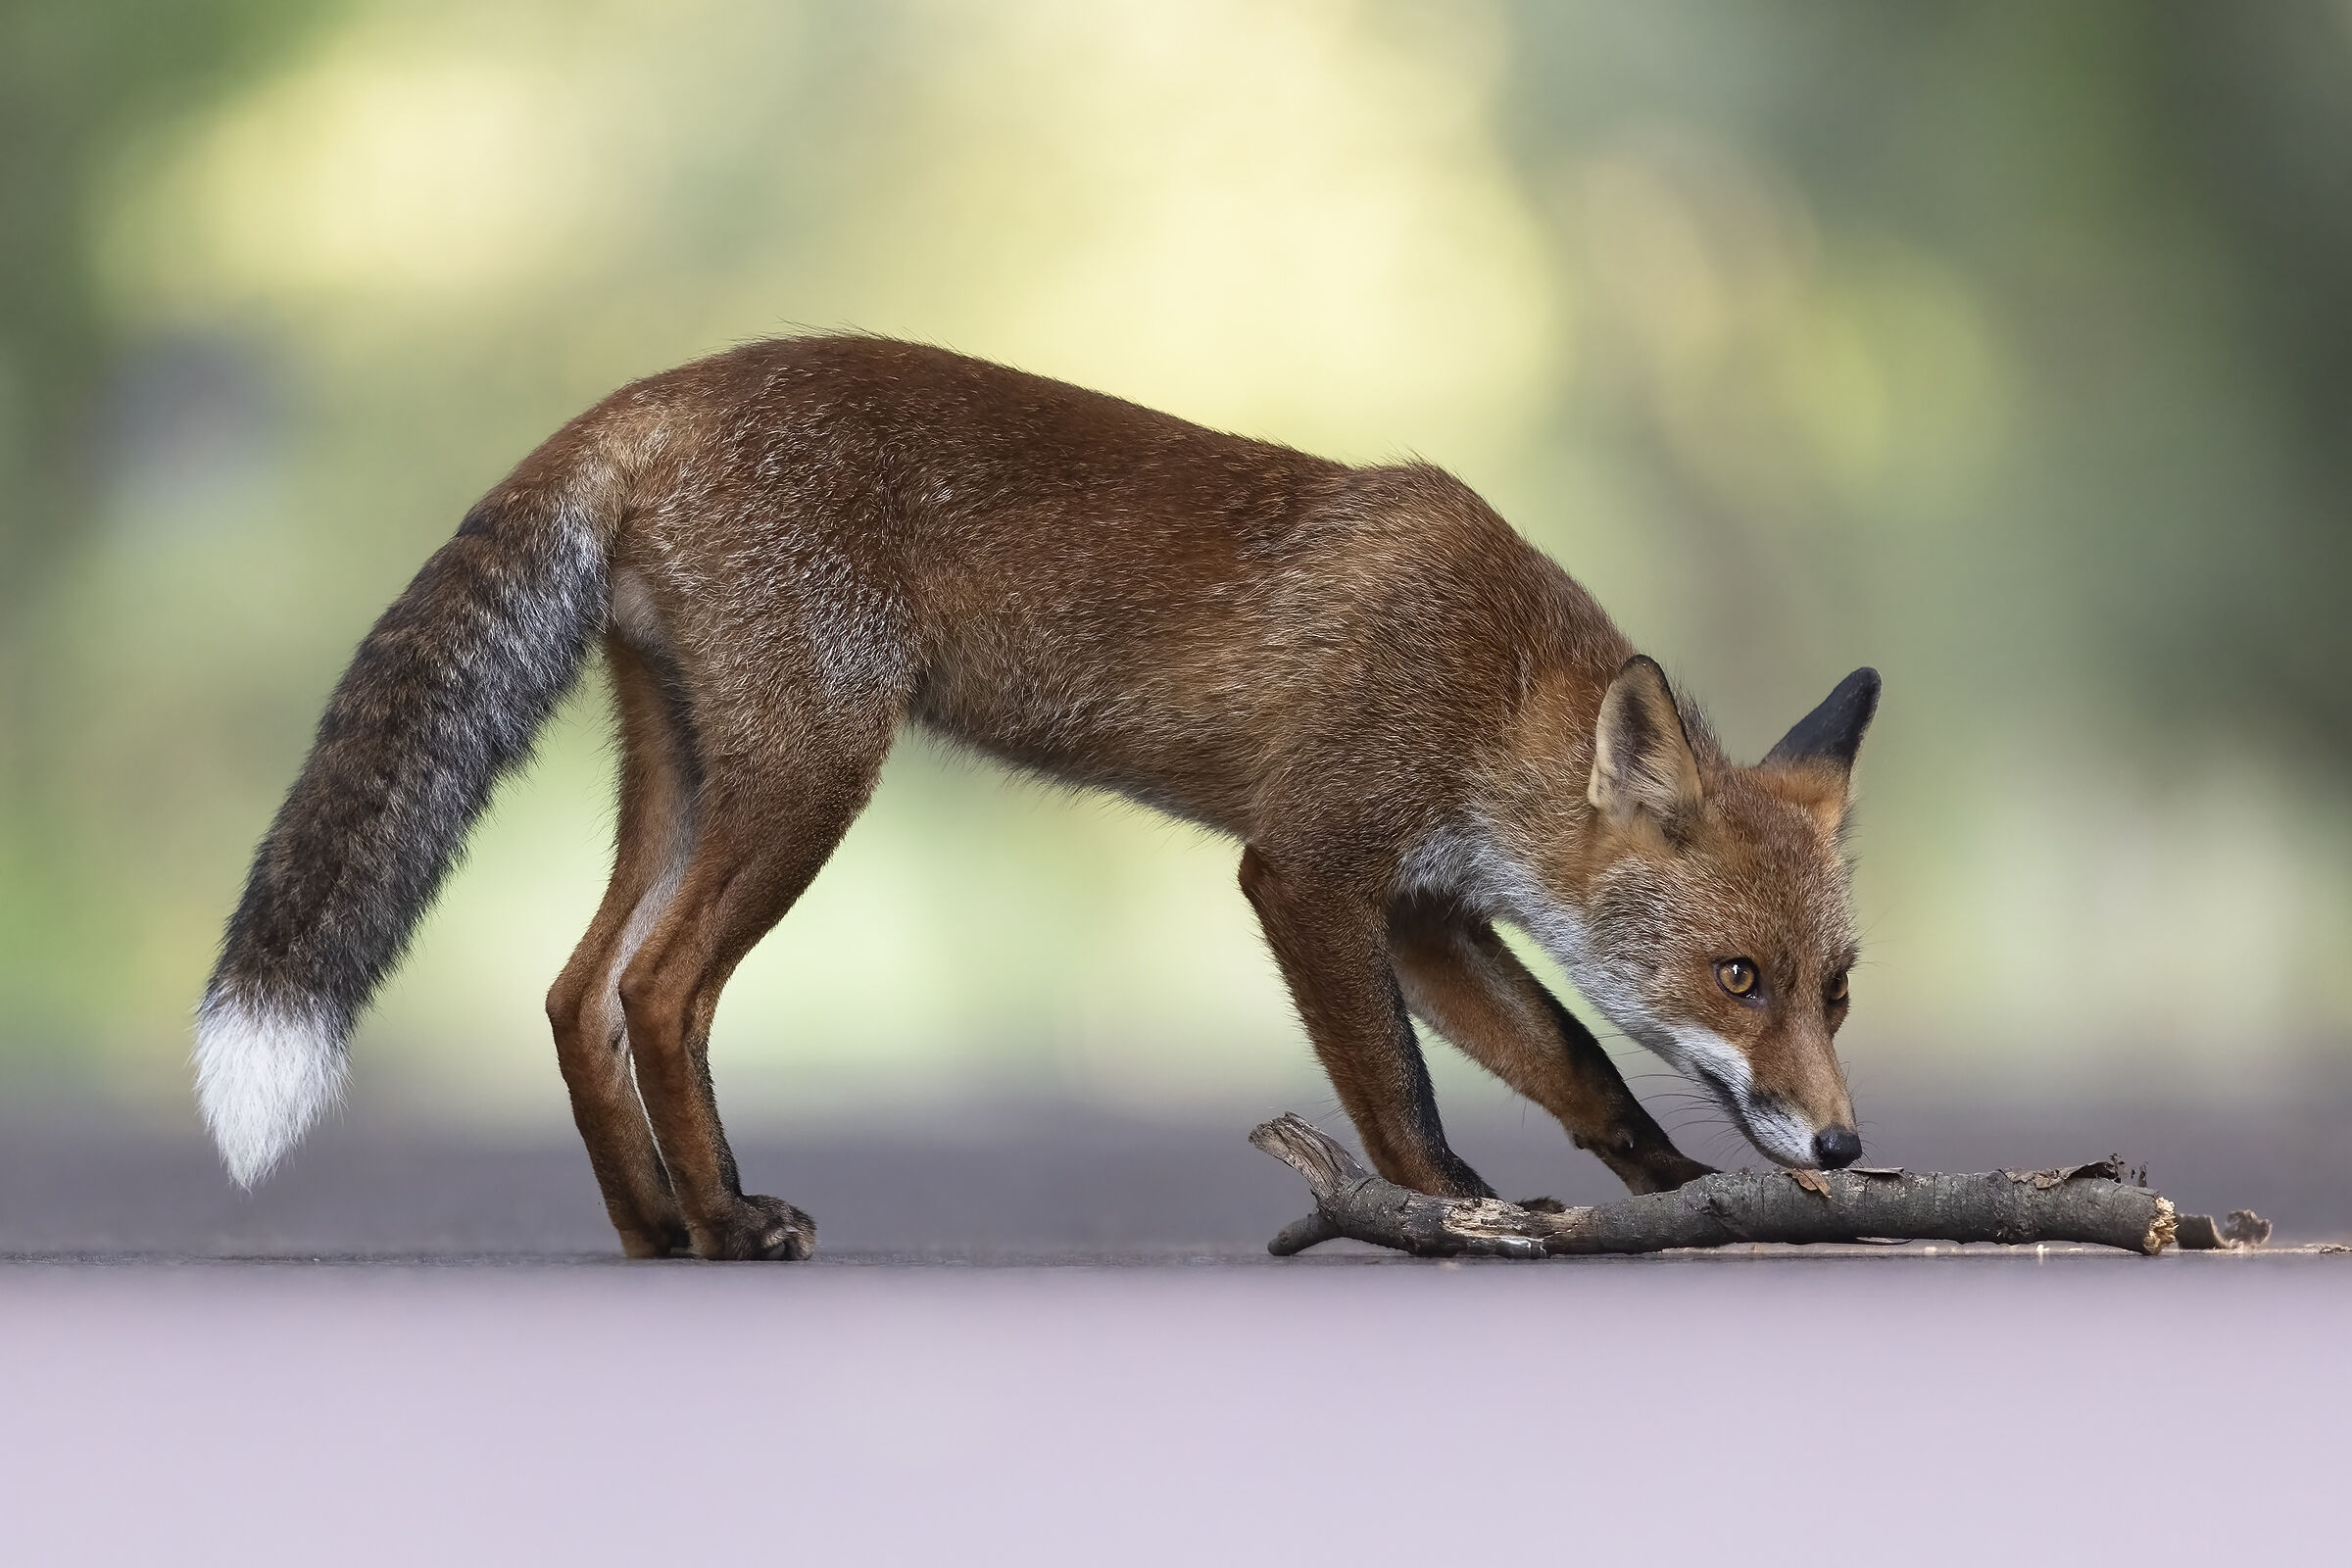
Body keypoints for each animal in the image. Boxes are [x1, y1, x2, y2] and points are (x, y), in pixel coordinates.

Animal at [196, 335, 1880, 1260]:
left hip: (687, 774)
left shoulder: (1417, 909)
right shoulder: (1308, 870)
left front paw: (1675, 1194)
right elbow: (1398, 1097)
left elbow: (1575, 1061)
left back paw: (655, 1228)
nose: (1846, 1148)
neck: (1486, 680)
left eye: (1835, 989)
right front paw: (1458, 1220)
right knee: (658, 989)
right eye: (1738, 977)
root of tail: (663, 390)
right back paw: (729, 1222)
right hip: (812, 780)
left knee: (572, 990)